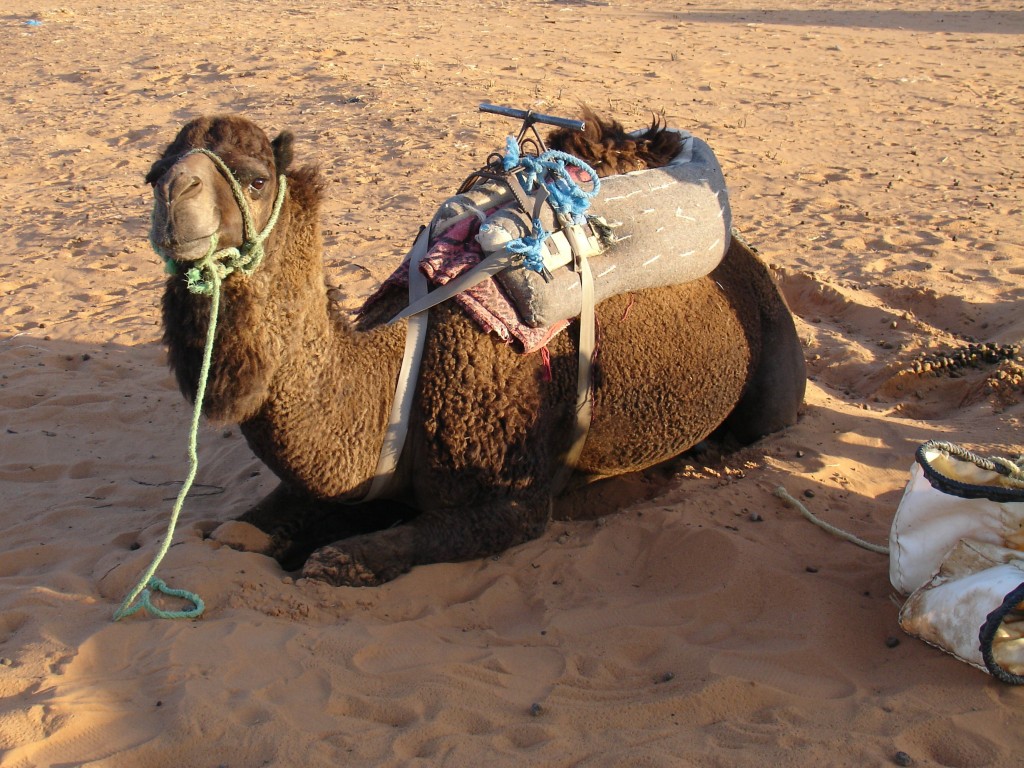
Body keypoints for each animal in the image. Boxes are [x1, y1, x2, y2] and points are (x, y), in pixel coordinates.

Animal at [148, 111, 802, 585]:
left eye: (256, 180)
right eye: (153, 174)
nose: (176, 200)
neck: (395, 381)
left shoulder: (510, 499)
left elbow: (340, 560)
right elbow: (235, 533)